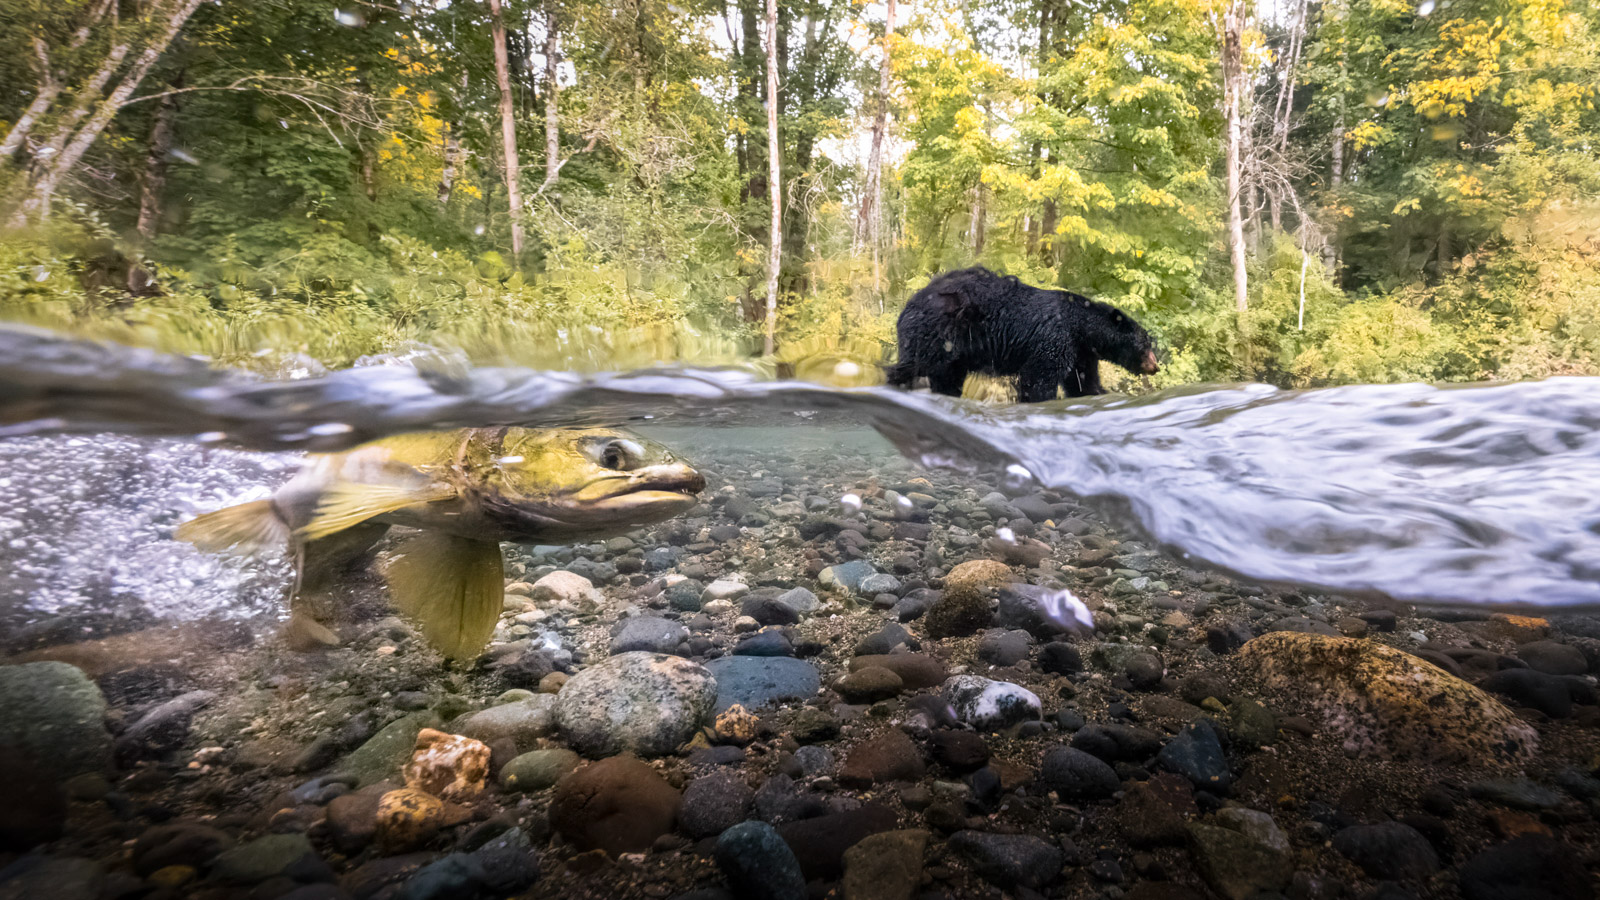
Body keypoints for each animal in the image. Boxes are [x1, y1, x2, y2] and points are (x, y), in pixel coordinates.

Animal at [884, 266, 1159, 402]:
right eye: (1146, 343)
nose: (1155, 366)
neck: (1081, 327)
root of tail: (911, 302)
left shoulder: (1080, 351)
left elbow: (1082, 380)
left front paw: (1097, 393)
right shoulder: (1055, 338)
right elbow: (1039, 376)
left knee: (947, 375)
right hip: (938, 333)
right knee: (915, 364)